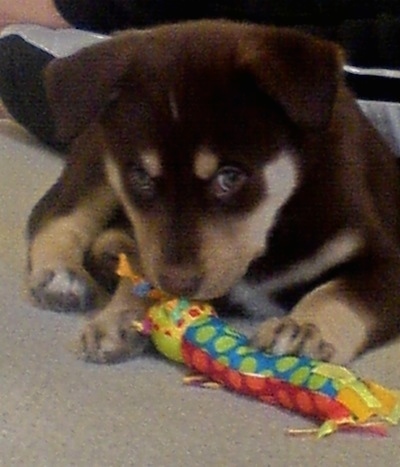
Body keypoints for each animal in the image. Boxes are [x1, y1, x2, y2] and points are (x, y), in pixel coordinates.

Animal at [26, 20, 400, 366]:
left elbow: (339, 294)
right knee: (55, 214)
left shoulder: (384, 259)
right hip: (96, 164)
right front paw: (118, 317)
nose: (177, 284)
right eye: (141, 177)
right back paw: (60, 276)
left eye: (230, 177)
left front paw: (305, 329)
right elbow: (143, 268)